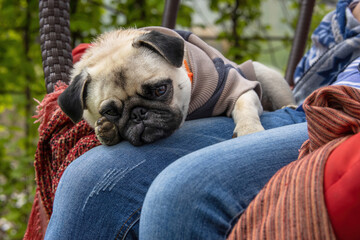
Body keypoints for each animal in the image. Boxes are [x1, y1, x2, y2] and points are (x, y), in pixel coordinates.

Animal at [58, 26, 296, 146]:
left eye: (160, 90)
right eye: (109, 112)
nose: (138, 113)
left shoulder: (237, 87)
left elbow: (244, 107)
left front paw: (249, 131)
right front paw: (107, 131)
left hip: (265, 74)